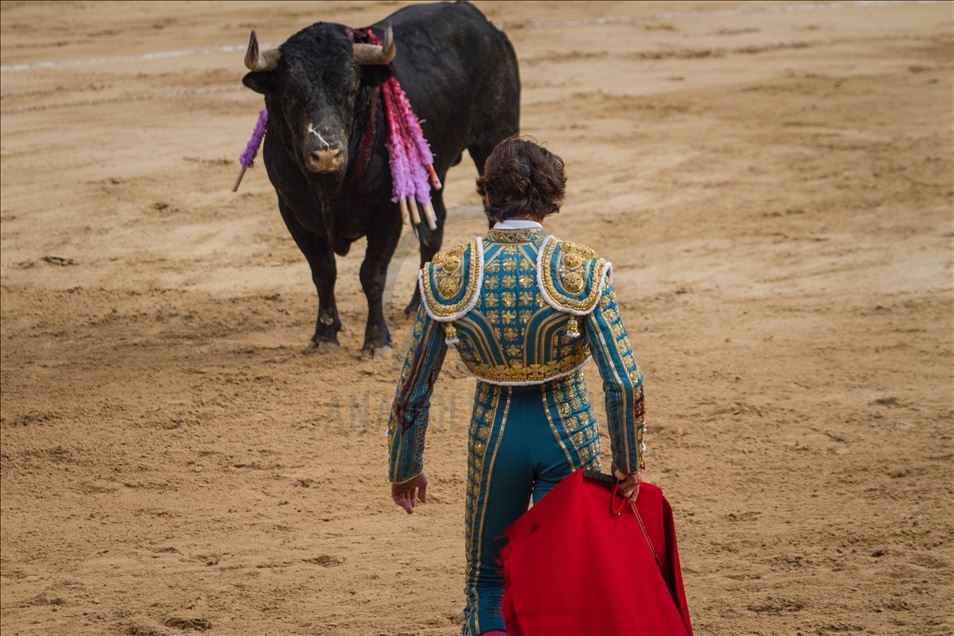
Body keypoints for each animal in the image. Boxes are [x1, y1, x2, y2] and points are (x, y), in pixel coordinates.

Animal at [242, 0, 516, 356]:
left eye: (349, 91)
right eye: (290, 96)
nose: (326, 153)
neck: (330, 188)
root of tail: (479, 19)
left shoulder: (387, 214)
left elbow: (371, 274)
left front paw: (376, 340)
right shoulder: (292, 211)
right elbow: (323, 272)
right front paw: (324, 335)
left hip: (495, 140)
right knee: (433, 229)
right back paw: (416, 306)